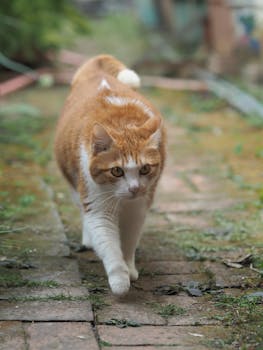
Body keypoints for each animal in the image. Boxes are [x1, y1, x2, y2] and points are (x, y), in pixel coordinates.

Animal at [54, 54, 166, 296]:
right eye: (117, 171)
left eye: (145, 169)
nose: (134, 188)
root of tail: (97, 65)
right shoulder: (97, 207)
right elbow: (110, 247)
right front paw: (120, 280)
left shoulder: (138, 207)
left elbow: (129, 242)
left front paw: (130, 268)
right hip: (75, 185)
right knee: (83, 213)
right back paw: (89, 239)